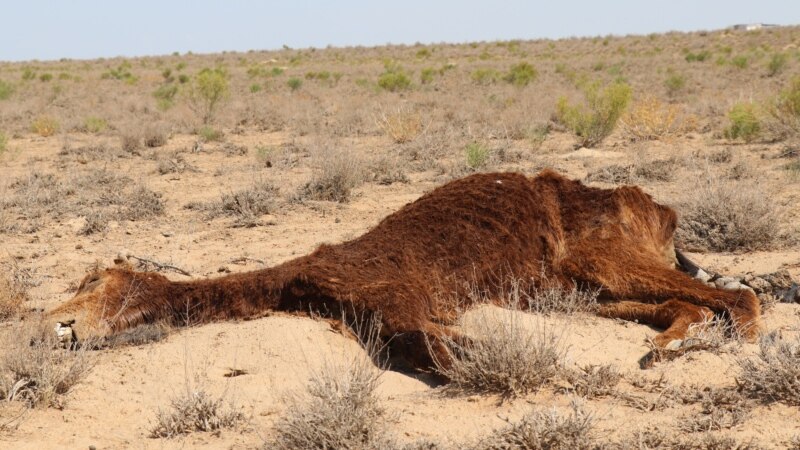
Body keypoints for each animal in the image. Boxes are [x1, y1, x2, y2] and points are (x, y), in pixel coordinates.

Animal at [50, 171, 764, 370]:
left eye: (91, 283)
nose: (54, 325)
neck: (295, 280)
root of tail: (660, 208)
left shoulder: (399, 301)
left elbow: (447, 355)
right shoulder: (382, 315)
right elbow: (437, 351)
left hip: (599, 257)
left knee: (742, 296)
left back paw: (737, 346)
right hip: (567, 289)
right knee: (689, 304)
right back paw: (668, 347)